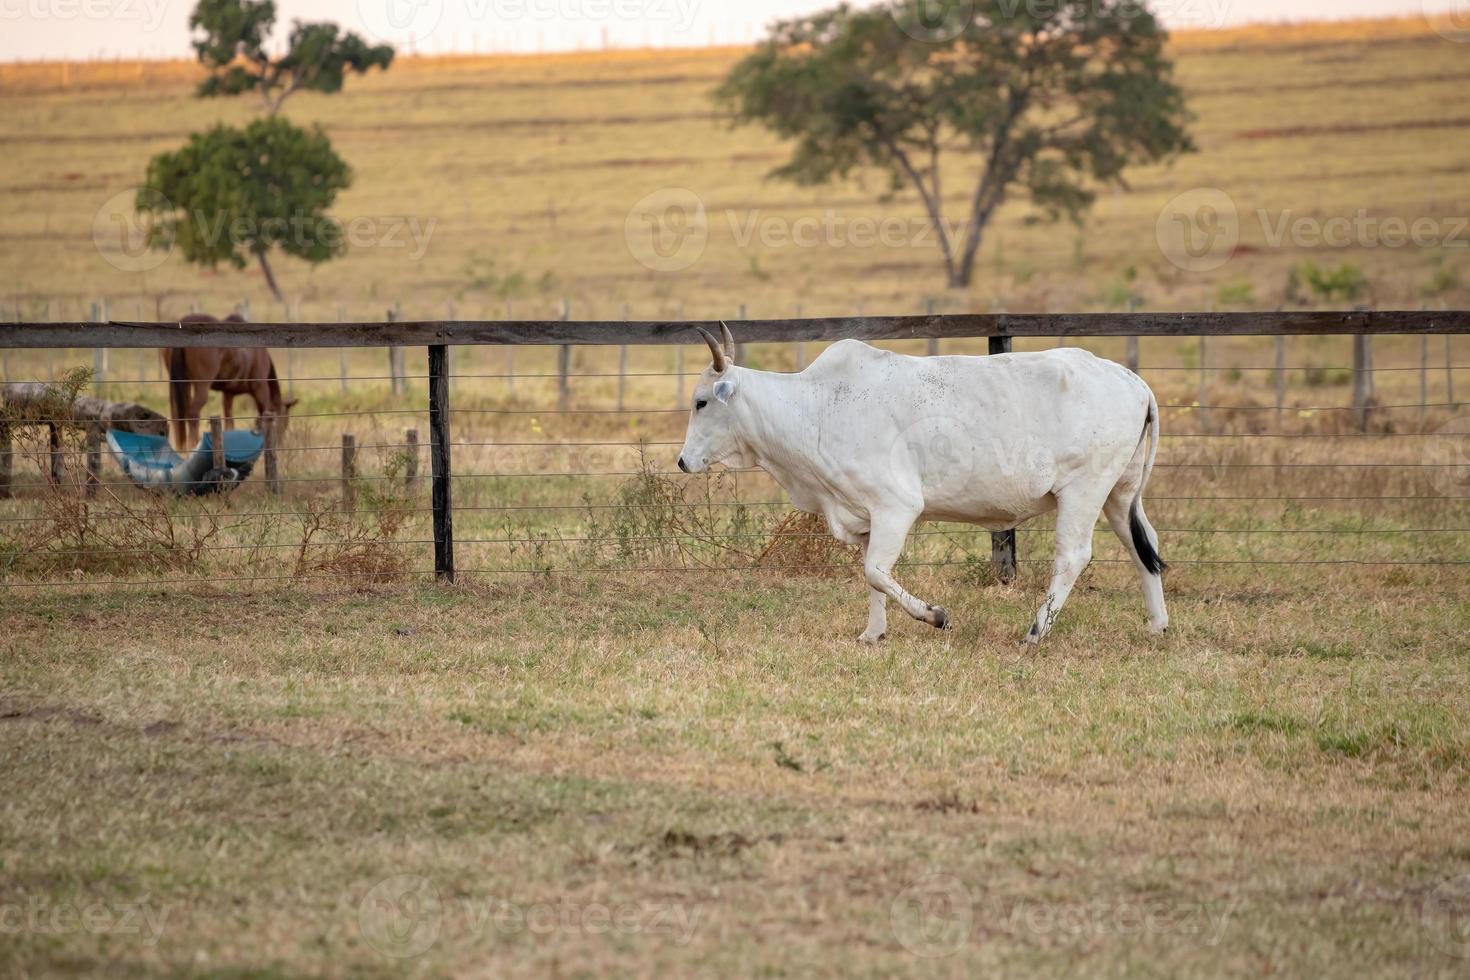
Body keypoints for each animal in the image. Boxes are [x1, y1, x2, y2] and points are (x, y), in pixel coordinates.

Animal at [162, 315, 296, 449]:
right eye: (284, 421)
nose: (281, 443)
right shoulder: (261, 389)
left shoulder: (228, 394)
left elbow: (229, 422)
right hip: (201, 387)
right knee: (193, 413)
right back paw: (193, 446)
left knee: (177, 416)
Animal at [679, 323, 1170, 643]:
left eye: (702, 402)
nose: (683, 461)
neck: (815, 408)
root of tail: (1132, 381)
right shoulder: (864, 516)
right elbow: (872, 577)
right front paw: (873, 633)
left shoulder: (896, 506)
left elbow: (875, 572)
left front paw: (935, 616)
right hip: (1118, 492)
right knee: (1142, 548)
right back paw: (1157, 625)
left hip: (1084, 489)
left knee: (1073, 557)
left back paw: (1035, 632)